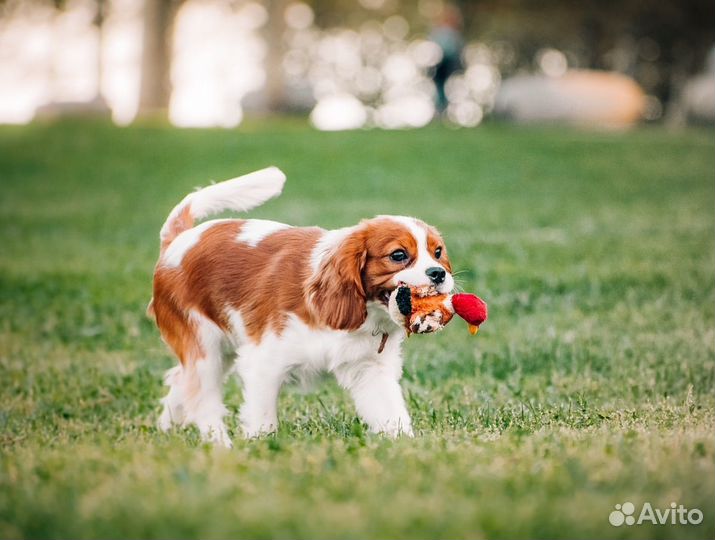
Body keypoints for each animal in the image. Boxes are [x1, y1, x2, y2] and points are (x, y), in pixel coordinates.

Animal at [148, 167, 456, 446]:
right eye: (399, 255)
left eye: (438, 252)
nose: (438, 273)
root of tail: (179, 240)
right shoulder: (264, 363)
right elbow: (262, 418)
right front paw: (260, 448)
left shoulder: (371, 370)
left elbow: (391, 414)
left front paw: (406, 447)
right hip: (204, 347)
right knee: (203, 401)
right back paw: (220, 446)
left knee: (180, 382)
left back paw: (166, 431)